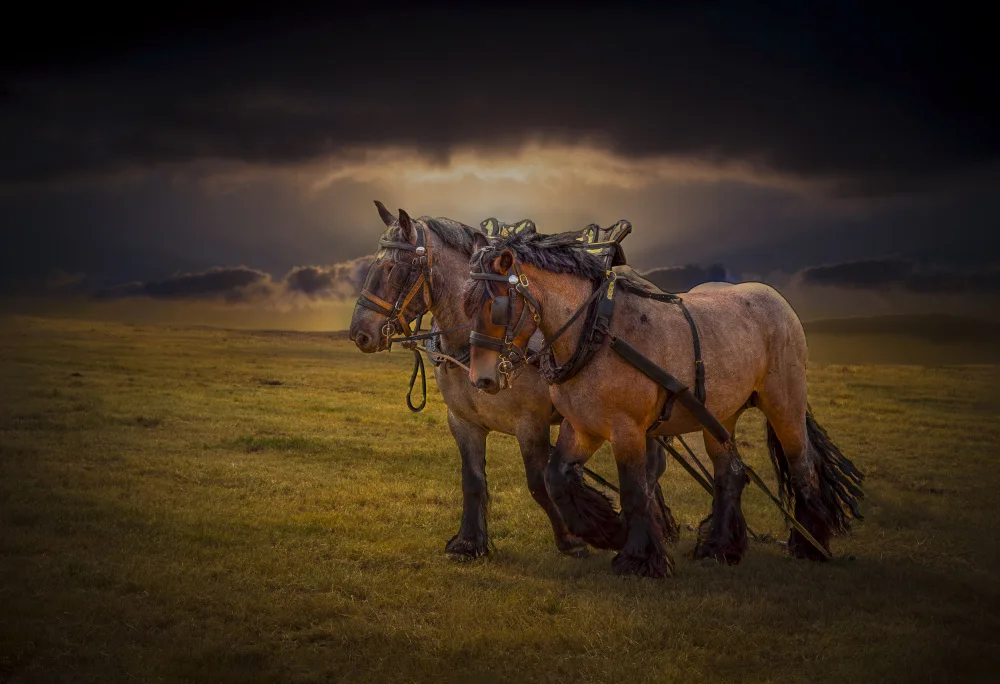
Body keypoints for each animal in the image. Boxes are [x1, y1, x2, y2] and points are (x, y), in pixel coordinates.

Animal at [348, 202, 678, 559]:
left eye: (394, 268)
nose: (360, 333)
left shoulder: (531, 423)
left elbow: (538, 483)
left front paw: (573, 539)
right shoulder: (463, 421)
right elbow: (472, 480)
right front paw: (469, 542)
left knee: (651, 467)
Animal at [464, 230, 865, 578]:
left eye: (496, 307)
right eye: (467, 305)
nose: (481, 380)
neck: (595, 331)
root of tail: (779, 301)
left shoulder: (627, 429)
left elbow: (634, 490)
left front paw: (639, 559)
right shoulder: (582, 427)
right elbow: (557, 478)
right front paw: (608, 532)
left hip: (785, 403)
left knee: (802, 469)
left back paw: (809, 545)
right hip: (720, 416)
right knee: (730, 475)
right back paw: (718, 548)